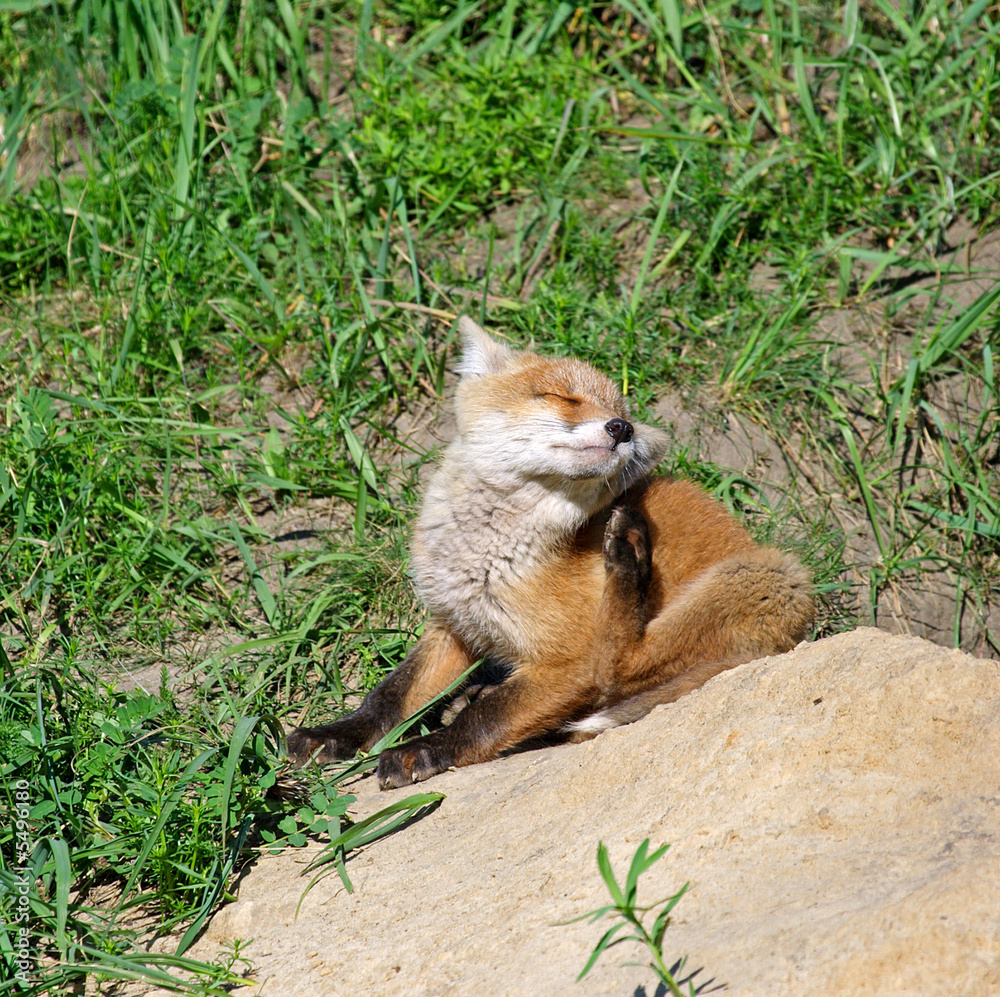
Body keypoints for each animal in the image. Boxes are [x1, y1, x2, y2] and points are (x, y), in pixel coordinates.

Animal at [287, 317, 815, 788]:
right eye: (563, 396)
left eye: (621, 414)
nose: (622, 428)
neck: (490, 558)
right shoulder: (455, 626)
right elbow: (391, 695)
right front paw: (336, 734)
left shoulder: (567, 664)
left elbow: (490, 717)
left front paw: (427, 749)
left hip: (760, 576)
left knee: (618, 668)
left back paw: (629, 556)